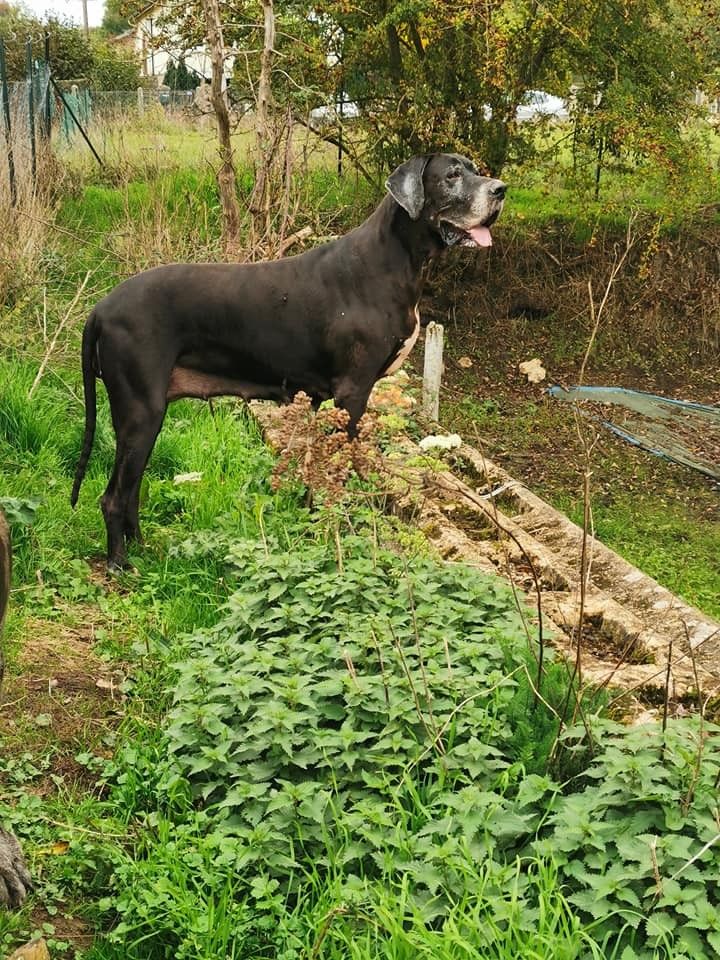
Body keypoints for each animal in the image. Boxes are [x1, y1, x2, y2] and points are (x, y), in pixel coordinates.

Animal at [71, 153, 506, 569]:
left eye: (473, 168)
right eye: (452, 175)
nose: (500, 189)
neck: (393, 260)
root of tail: (100, 309)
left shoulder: (318, 401)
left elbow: (316, 476)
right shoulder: (352, 394)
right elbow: (340, 474)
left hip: (142, 418)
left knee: (131, 492)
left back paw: (141, 550)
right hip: (141, 413)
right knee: (114, 497)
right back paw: (120, 565)